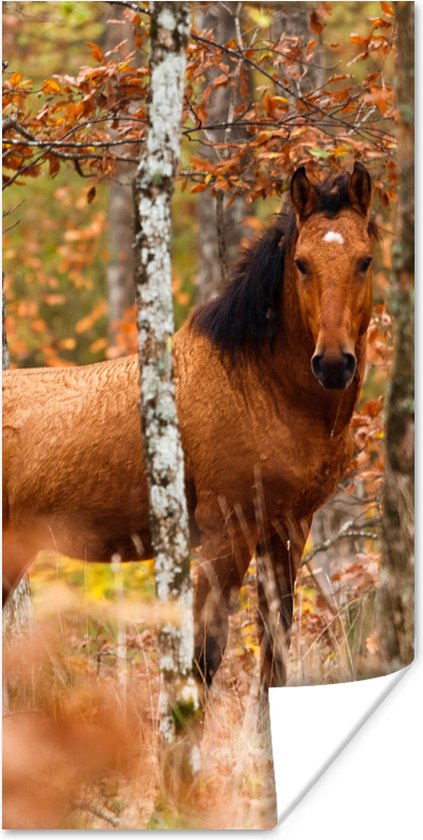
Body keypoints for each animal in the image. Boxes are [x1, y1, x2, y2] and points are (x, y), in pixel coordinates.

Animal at [2, 162, 374, 688]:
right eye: (302, 263)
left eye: (364, 260)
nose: (335, 363)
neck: (261, 388)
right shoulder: (225, 533)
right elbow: (203, 657)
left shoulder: (288, 529)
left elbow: (273, 655)